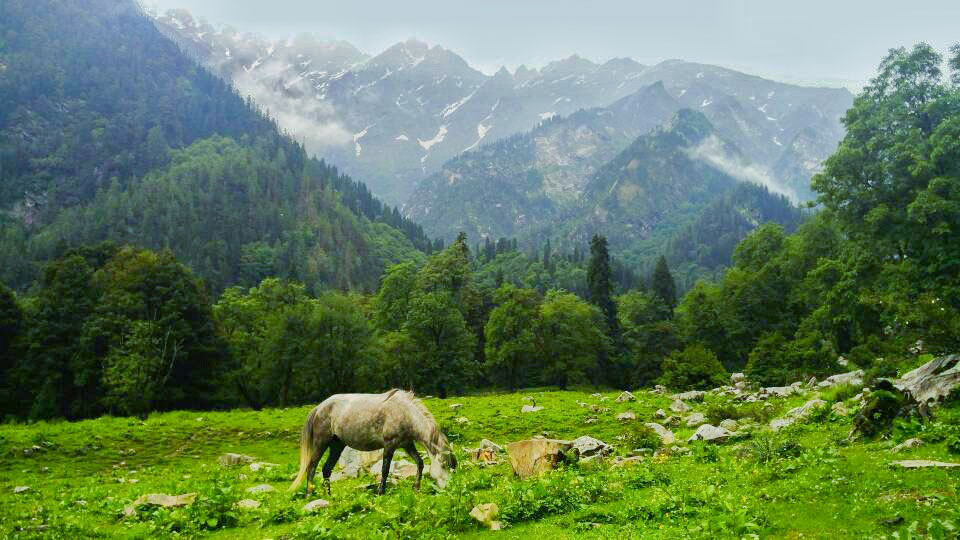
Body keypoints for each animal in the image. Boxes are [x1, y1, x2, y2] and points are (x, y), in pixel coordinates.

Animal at [288, 390, 458, 496]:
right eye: (444, 465)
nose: (448, 488)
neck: (405, 412)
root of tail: (319, 407)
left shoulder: (407, 444)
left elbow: (420, 463)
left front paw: (416, 487)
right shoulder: (390, 445)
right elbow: (385, 470)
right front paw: (380, 492)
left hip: (337, 445)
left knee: (326, 469)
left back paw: (328, 495)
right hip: (321, 443)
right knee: (312, 467)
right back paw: (310, 494)